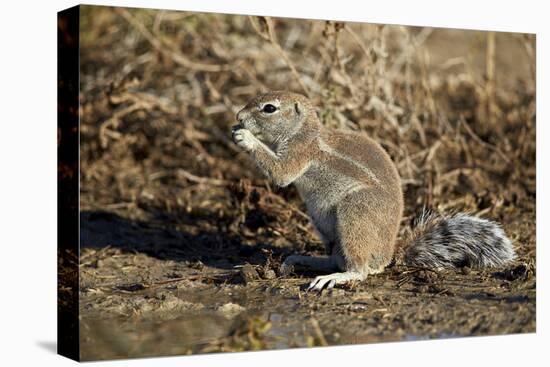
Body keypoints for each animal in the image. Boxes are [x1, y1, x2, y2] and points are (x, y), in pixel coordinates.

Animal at [231, 91, 516, 290]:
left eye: (269, 108)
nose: (238, 117)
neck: (305, 132)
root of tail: (390, 255)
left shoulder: (300, 152)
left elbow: (281, 173)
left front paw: (245, 137)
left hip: (355, 211)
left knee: (362, 269)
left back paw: (335, 277)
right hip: (326, 229)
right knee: (337, 257)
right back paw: (304, 260)